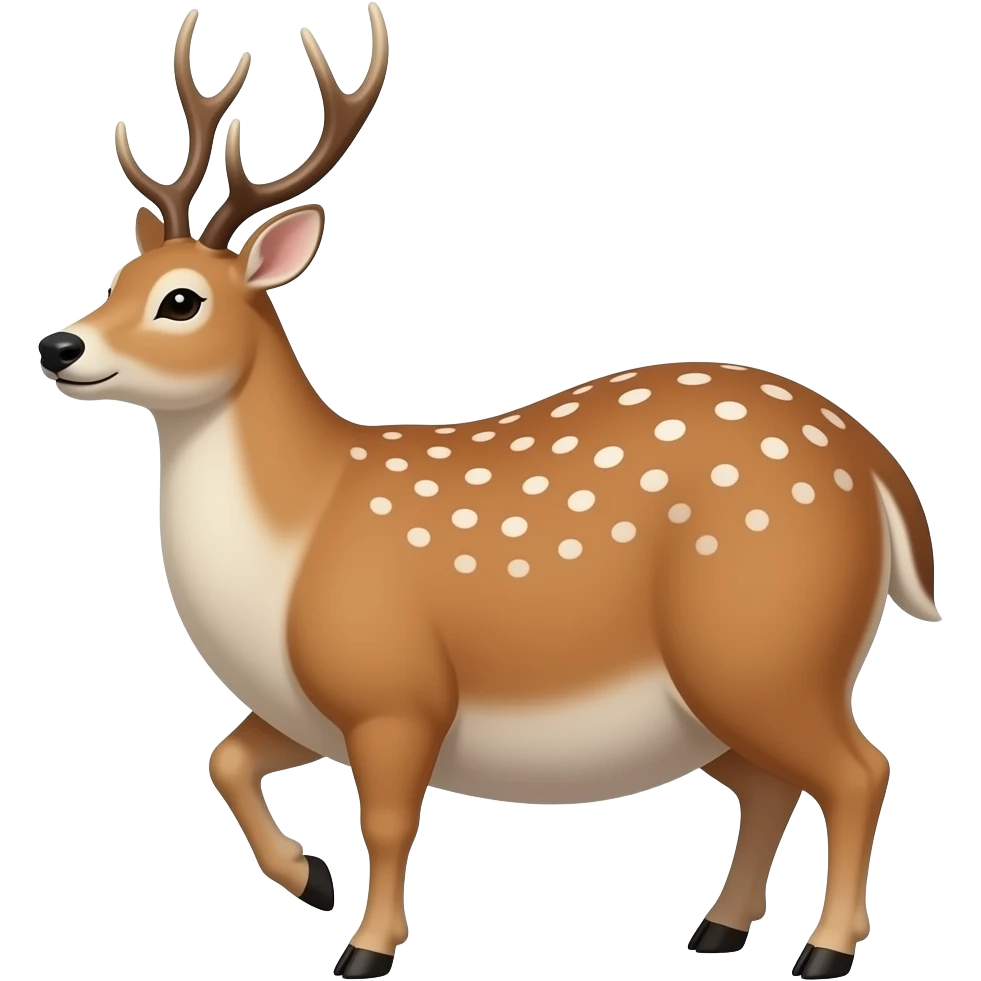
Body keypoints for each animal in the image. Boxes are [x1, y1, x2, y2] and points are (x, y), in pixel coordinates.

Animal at [36, 5, 941, 980]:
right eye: (116, 279)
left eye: (181, 300)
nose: (59, 345)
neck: (292, 541)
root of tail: (873, 462)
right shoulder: (306, 705)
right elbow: (223, 758)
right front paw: (310, 879)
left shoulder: (393, 684)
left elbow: (387, 822)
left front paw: (367, 946)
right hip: (718, 695)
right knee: (773, 782)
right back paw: (717, 929)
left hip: (765, 645)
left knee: (858, 767)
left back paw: (825, 949)